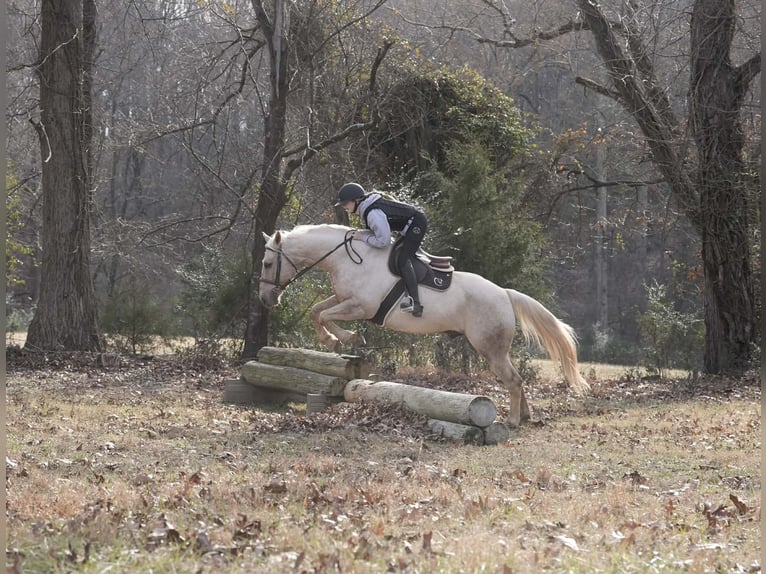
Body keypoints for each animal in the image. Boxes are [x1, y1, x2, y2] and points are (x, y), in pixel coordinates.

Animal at [258, 224, 589, 427]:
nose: (264, 299)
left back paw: (512, 421)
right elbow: (317, 311)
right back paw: (526, 416)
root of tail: (505, 294)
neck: (347, 258)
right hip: (495, 349)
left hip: (489, 348)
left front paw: (345, 339)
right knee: (516, 379)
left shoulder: (360, 307)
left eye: (267, 264)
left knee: (513, 380)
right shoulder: (343, 299)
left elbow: (325, 316)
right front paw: (339, 340)